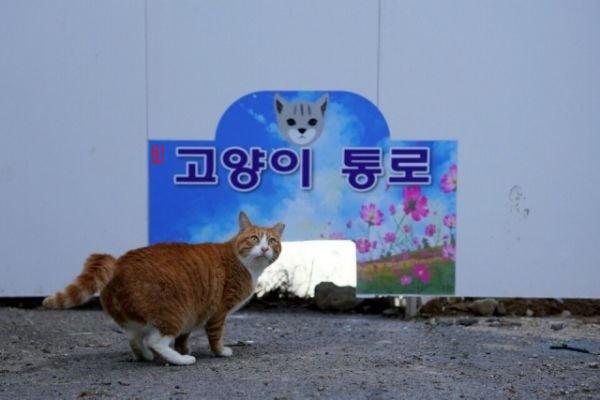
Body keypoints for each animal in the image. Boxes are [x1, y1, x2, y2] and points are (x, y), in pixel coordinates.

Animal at [43, 212, 284, 366]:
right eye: (254, 238)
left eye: (272, 241)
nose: (264, 249)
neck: (245, 264)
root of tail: (119, 262)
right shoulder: (218, 312)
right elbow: (215, 337)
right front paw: (219, 352)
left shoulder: (195, 312)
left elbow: (185, 336)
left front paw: (184, 348)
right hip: (173, 312)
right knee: (155, 341)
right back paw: (182, 360)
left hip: (136, 319)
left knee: (135, 339)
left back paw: (145, 356)